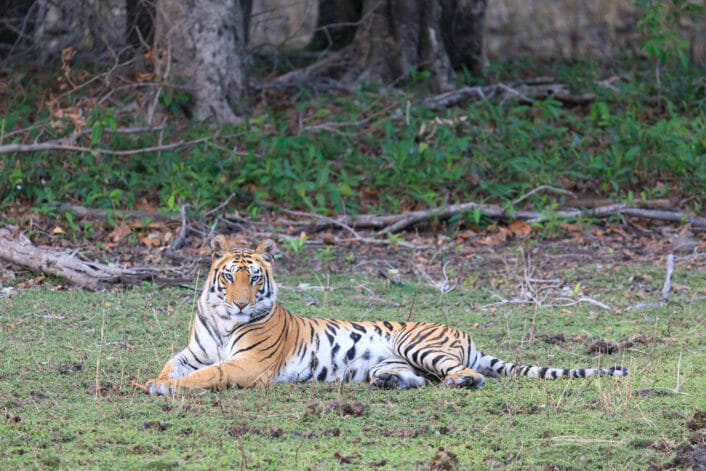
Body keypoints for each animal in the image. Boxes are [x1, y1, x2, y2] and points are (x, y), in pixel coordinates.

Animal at [144, 236, 628, 394]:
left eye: (254, 278)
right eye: (229, 278)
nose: (241, 303)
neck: (224, 321)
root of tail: (465, 334)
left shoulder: (249, 364)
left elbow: (209, 374)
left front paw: (167, 389)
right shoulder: (193, 351)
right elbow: (172, 363)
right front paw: (153, 381)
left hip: (419, 344)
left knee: (466, 375)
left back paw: (457, 382)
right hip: (399, 360)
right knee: (419, 379)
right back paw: (389, 381)